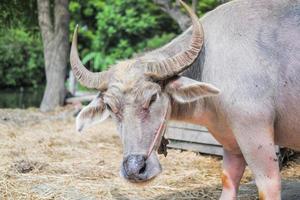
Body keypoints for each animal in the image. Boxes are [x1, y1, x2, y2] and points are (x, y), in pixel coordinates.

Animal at [69, 0, 298, 199]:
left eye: (153, 97)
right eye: (109, 106)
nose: (134, 169)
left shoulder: (255, 133)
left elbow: (268, 186)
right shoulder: (231, 141)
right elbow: (228, 180)